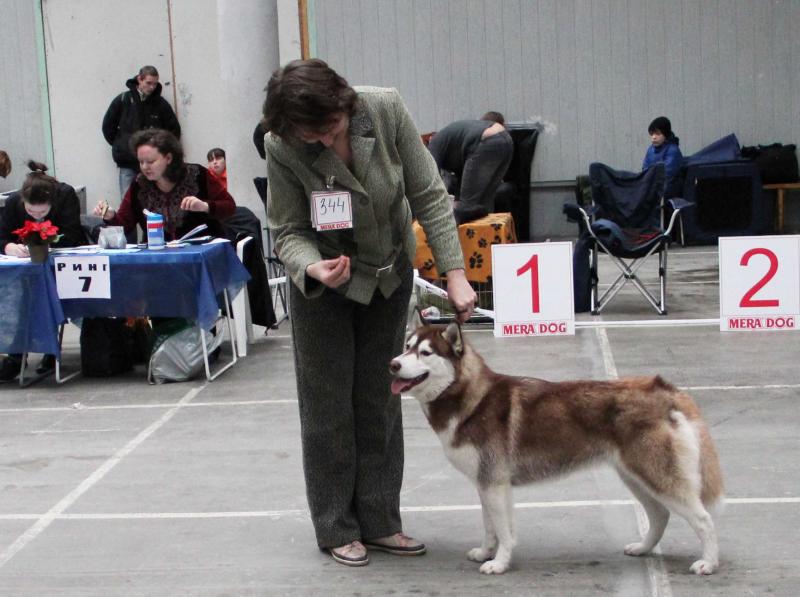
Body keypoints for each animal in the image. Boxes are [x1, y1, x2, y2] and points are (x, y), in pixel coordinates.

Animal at [390, 317, 724, 575]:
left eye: (425, 352)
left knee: (704, 520)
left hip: (657, 475)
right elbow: (491, 526)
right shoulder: (487, 483)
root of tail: (664, 389)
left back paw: (708, 563)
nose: (393, 364)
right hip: (635, 475)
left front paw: (499, 563)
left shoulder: (493, 482)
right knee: (659, 514)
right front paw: (486, 552)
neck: (468, 398)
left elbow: (503, 531)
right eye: (407, 346)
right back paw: (643, 547)